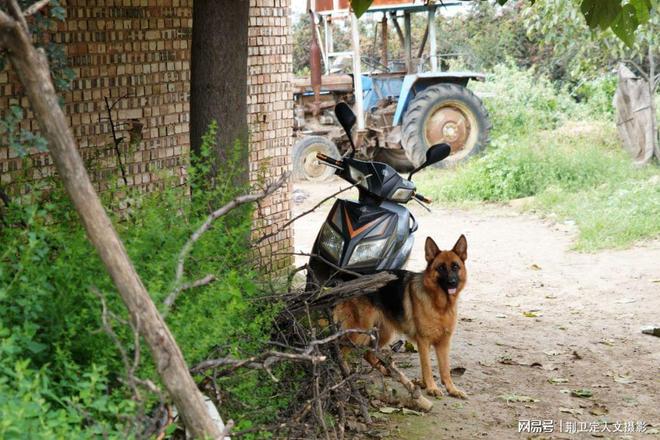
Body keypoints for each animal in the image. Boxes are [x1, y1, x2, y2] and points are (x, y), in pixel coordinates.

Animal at [336, 237, 470, 398]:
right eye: (441, 268)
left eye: (455, 266)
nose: (452, 282)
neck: (440, 305)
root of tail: (348, 281)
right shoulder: (423, 341)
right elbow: (427, 367)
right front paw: (431, 387)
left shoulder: (443, 343)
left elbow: (445, 369)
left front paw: (451, 389)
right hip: (359, 334)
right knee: (340, 352)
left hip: (384, 333)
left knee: (368, 353)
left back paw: (385, 371)